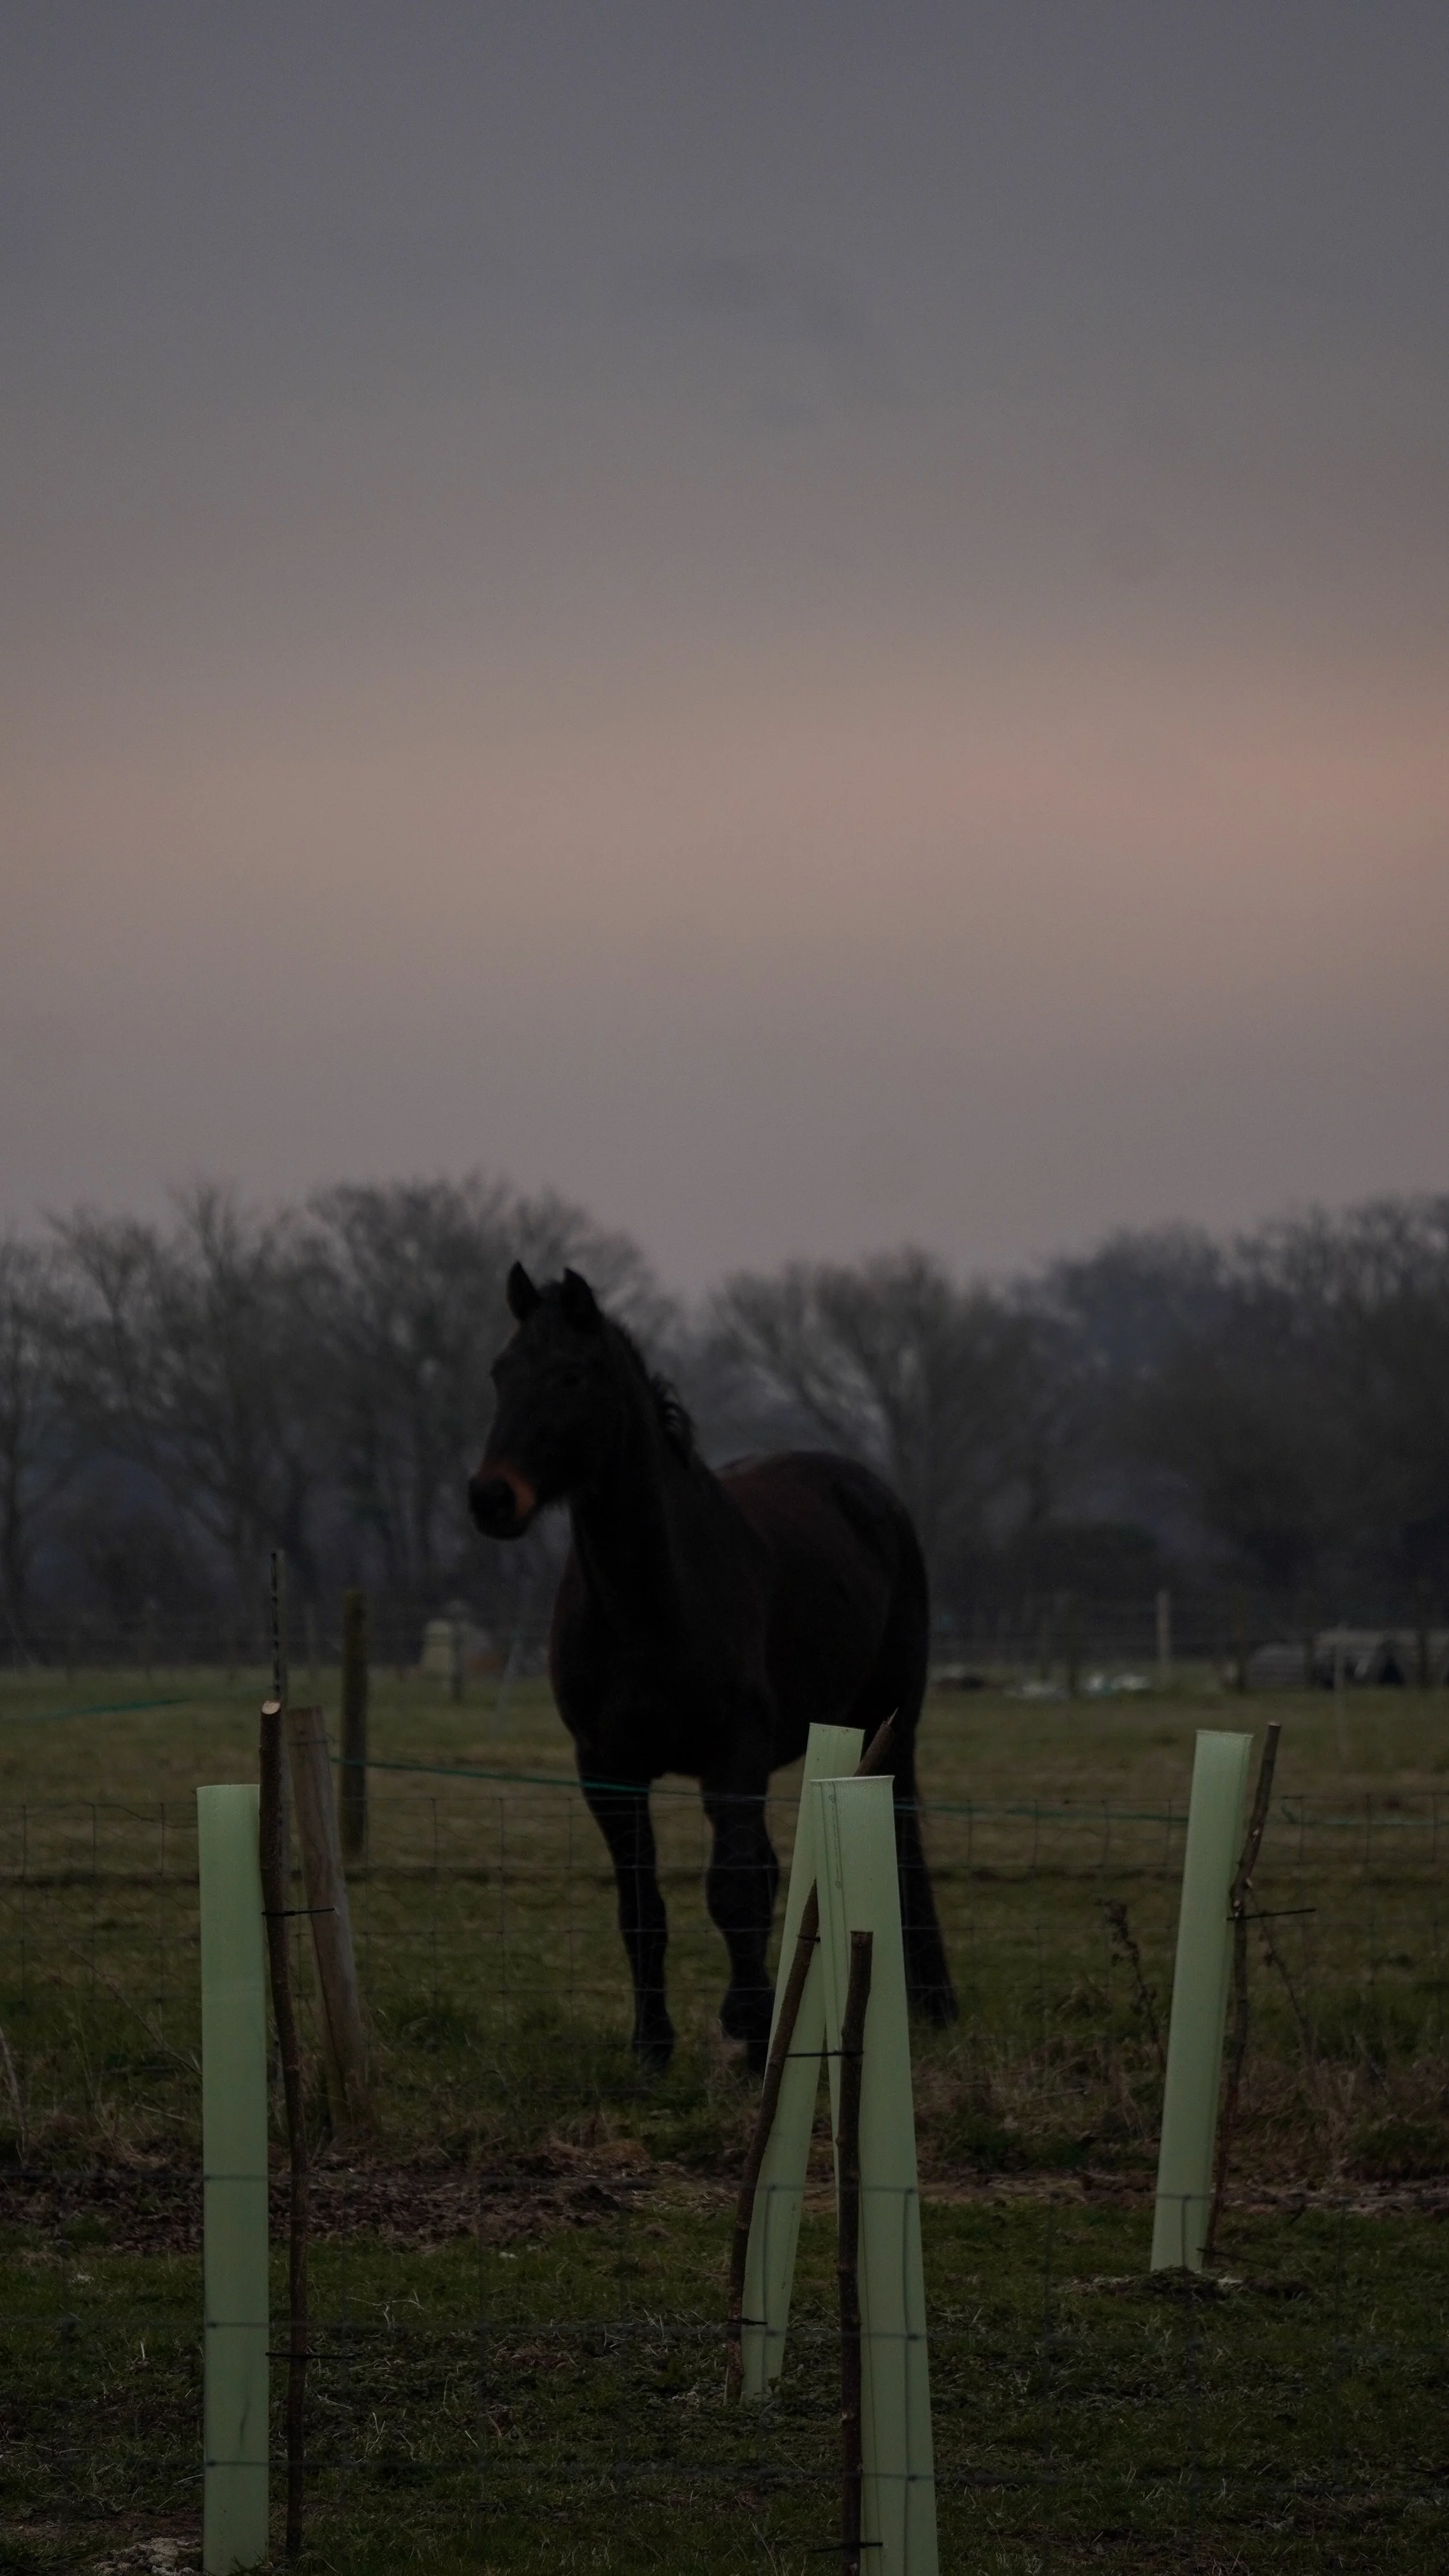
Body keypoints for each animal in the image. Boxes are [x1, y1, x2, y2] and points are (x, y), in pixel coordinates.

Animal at [467, 1262, 957, 2070]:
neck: (647, 1598)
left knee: (902, 1841)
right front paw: (652, 2044)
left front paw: (751, 2025)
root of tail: (868, 1490)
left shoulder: (732, 1755)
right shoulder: (607, 1771)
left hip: (892, 1724)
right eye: (501, 1373)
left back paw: (935, 2001)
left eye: (571, 1376)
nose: (491, 1497)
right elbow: (643, 1908)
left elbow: (730, 1891)